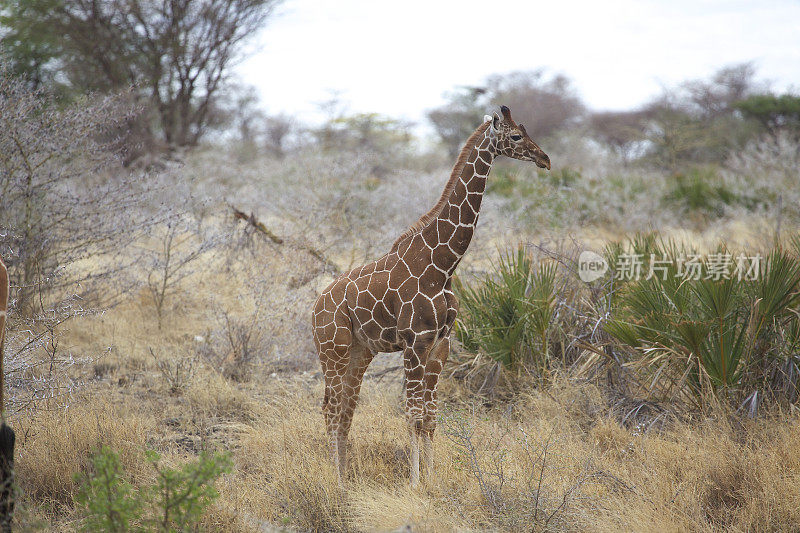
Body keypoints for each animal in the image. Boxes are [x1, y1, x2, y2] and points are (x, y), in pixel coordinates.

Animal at [312, 105, 552, 486]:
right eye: (515, 135)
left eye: (526, 130)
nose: (545, 159)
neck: (443, 265)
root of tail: (315, 306)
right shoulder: (415, 342)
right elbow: (413, 414)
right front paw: (414, 482)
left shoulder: (441, 343)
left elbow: (431, 414)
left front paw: (432, 478)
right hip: (331, 350)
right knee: (331, 409)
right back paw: (336, 482)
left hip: (359, 352)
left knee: (346, 409)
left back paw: (347, 476)